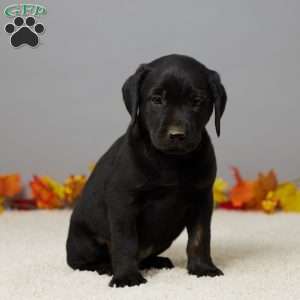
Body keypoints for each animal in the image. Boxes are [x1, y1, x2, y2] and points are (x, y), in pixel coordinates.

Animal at [67, 54, 226, 288]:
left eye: (196, 101)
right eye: (157, 100)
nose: (176, 135)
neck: (171, 161)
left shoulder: (202, 198)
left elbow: (200, 237)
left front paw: (203, 268)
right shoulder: (123, 202)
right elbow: (125, 242)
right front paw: (126, 277)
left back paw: (156, 261)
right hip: (85, 242)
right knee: (82, 263)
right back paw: (106, 267)